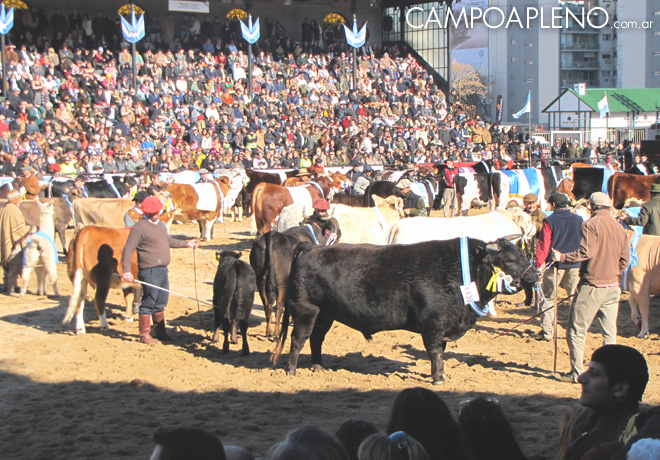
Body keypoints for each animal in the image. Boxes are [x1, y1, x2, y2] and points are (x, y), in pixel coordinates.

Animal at [270, 237, 540, 384]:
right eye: (510, 260)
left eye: (522, 253)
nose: (537, 274)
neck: (462, 271)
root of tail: (312, 247)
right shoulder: (433, 325)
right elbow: (434, 352)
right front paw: (438, 378)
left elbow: (440, 354)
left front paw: (441, 375)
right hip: (306, 311)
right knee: (298, 339)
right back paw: (291, 370)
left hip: (325, 314)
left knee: (316, 339)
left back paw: (318, 367)